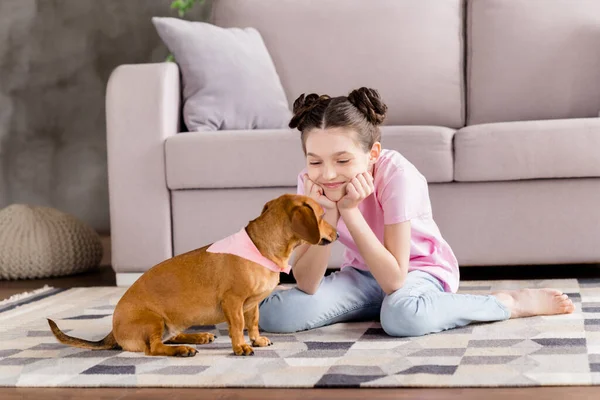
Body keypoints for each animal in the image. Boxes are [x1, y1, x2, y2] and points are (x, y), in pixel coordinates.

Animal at [47, 194, 338, 356]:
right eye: (323, 215)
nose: (336, 234)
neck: (260, 246)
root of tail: (113, 331)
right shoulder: (233, 302)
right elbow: (237, 327)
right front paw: (241, 347)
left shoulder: (252, 305)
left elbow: (253, 323)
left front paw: (256, 340)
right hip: (153, 320)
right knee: (154, 348)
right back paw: (183, 350)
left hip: (171, 322)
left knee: (170, 337)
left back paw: (197, 337)